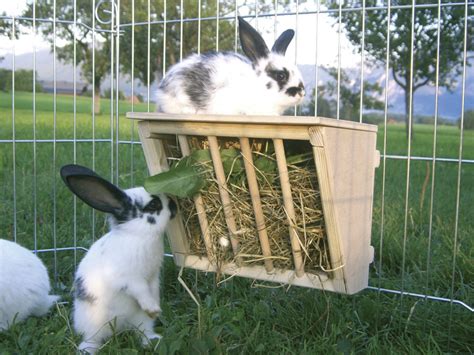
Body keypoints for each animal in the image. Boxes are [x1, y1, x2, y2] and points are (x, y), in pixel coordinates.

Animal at [59, 165, 178, 354]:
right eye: (154, 204)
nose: (174, 205)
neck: (138, 234)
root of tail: (121, 327)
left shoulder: (153, 277)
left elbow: (152, 290)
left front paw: (156, 308)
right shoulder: (129, 279)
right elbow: (141, 291)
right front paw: (153, 308)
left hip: (140, 320)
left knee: (143, 331)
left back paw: (153, 340)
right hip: (93, 325)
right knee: (93, 339)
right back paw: (87, 350)